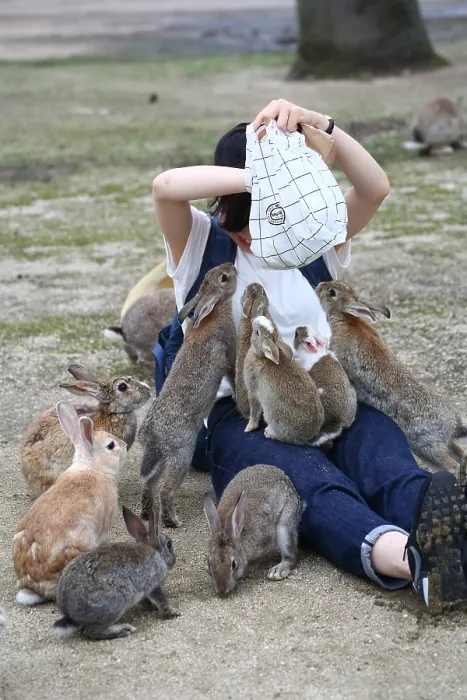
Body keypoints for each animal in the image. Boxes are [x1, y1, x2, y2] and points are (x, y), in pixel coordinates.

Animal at [50, 504, 178, 640]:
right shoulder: (154, 583)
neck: (153, 549)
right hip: (115, 604)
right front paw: (173, 612)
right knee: (92, 631)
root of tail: (71, 615)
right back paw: (123, 630)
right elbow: (161, 600)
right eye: (169, 544)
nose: (174, 559)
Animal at [139, 262, 237, 527]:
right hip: (182, 453)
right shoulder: (229, 349)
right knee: (166, 490)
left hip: (163, 458)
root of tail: (153, 435)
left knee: (149, 484)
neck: (214, 310)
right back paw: (173, 521)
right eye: (224, 278)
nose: (232, 266)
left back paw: (147, 514)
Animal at [203, 464, 302, 596]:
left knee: (291, 556)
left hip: (285, 526)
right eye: (209, 563)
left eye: (234, 564)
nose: (222, 591)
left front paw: (248, 571)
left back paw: (277, 571)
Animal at [243, 315, 324, 445]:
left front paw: (249, 428)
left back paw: (269, 432)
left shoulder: (252, 391)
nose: (255, 319)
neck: (262, 357)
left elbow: (254, 412)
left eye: (257, 333)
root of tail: (307, 437)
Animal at [316, 281, 467, 479]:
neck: (344, 317)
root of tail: (454, 424)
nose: (319, 286)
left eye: (332, 292)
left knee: (451, 464)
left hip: (426, 444)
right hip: (437, 445)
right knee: (461, 454)